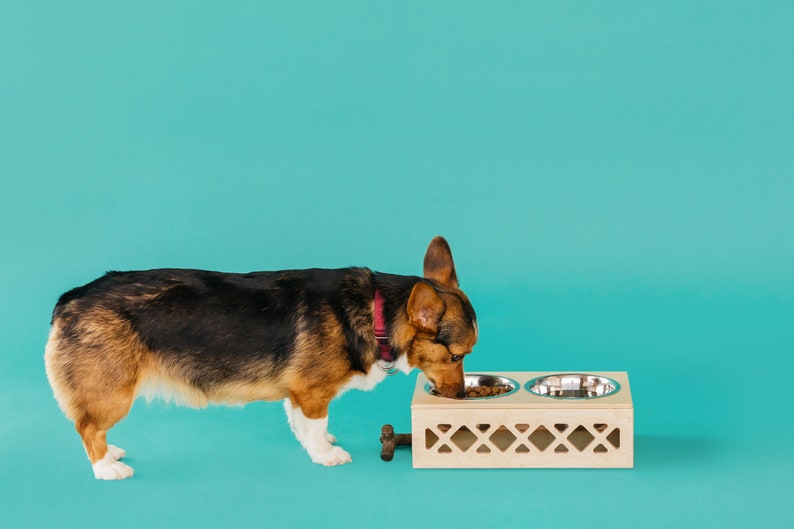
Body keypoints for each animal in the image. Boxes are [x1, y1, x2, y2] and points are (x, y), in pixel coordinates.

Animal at [44, 237, 476, 476]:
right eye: (457, 356)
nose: (460, 397)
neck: (378, 311)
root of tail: (72, 298)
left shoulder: (299, 393)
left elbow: (301, 422)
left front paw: (314, 444)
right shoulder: (313, 391)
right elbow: (316, 423)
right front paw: (326, 455)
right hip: (113, 394)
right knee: (88, 429)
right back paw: (108, 468)